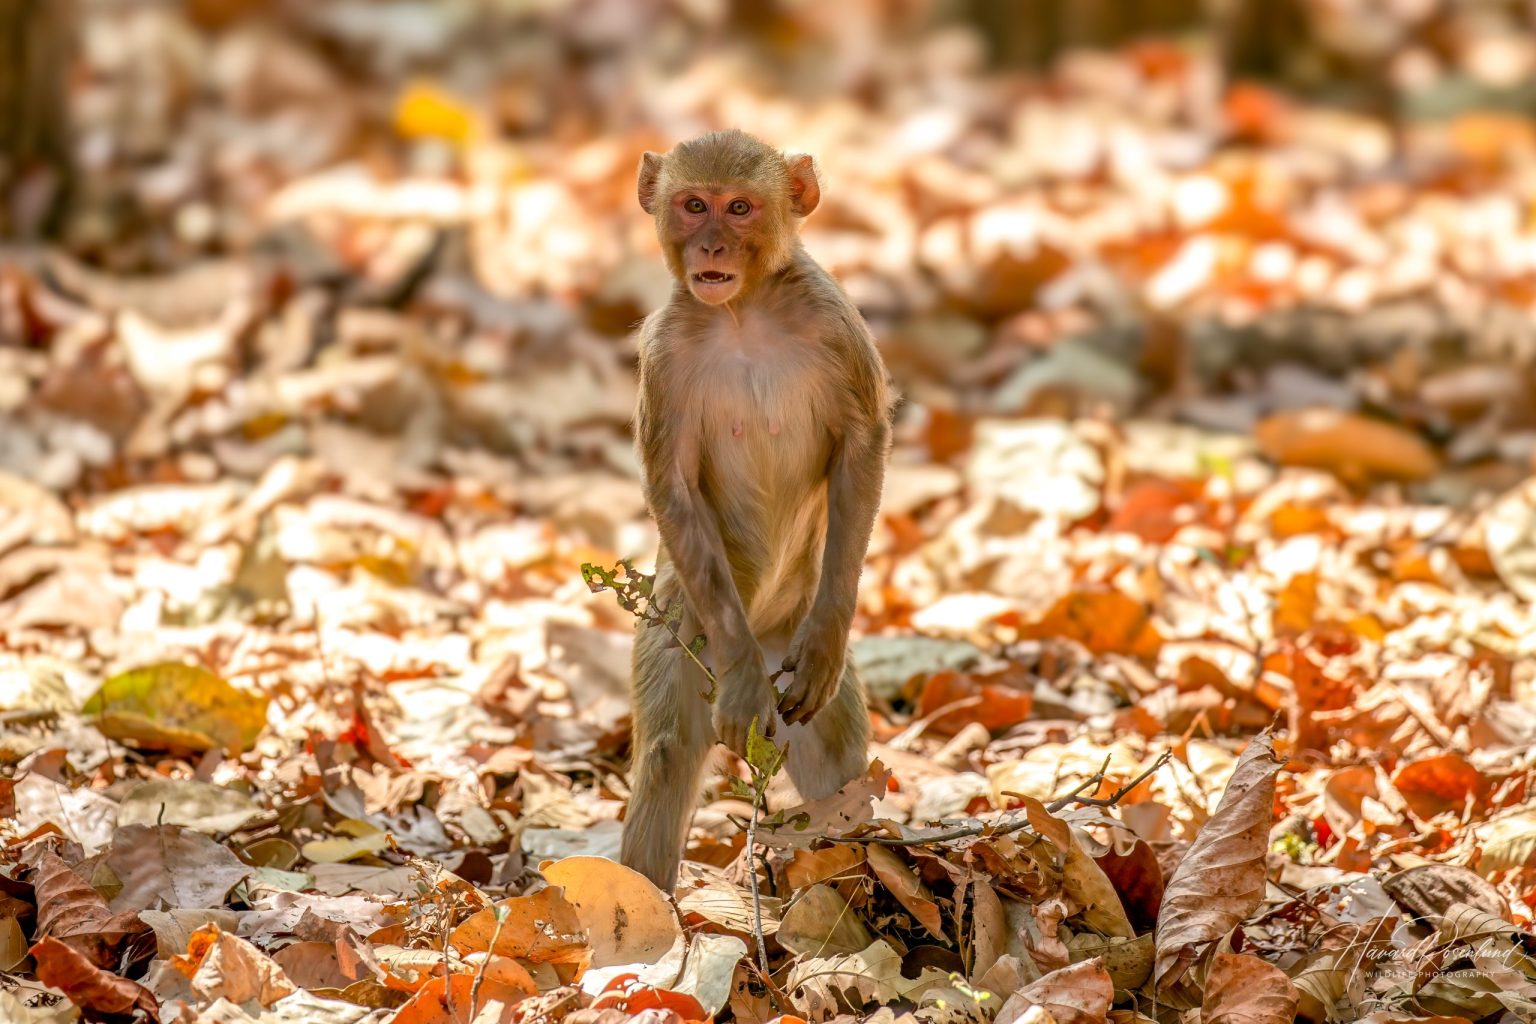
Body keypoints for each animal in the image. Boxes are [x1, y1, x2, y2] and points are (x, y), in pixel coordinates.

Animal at [618, 130, 892, 892]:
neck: (744, 314)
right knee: (669, 753)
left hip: (790, 662)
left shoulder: (833, 320)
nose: (710, 245)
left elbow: (862, 444)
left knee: (839, 775)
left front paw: (829, 634)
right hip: (682, 636)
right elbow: (674, 487)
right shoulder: (664, 352)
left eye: (738, 207)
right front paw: (741, 681)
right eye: (693, 205)